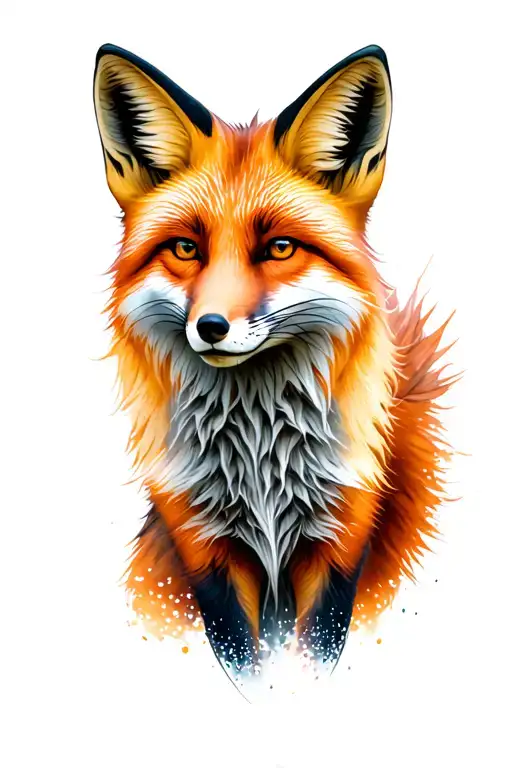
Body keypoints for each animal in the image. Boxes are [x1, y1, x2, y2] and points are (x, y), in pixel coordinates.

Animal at [93, 42, 458, 680]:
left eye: (279, 247)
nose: (211, 328)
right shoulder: (204, 550)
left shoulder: (339, 545)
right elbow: (249, 667)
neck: (261, 463)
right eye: (186, 248)